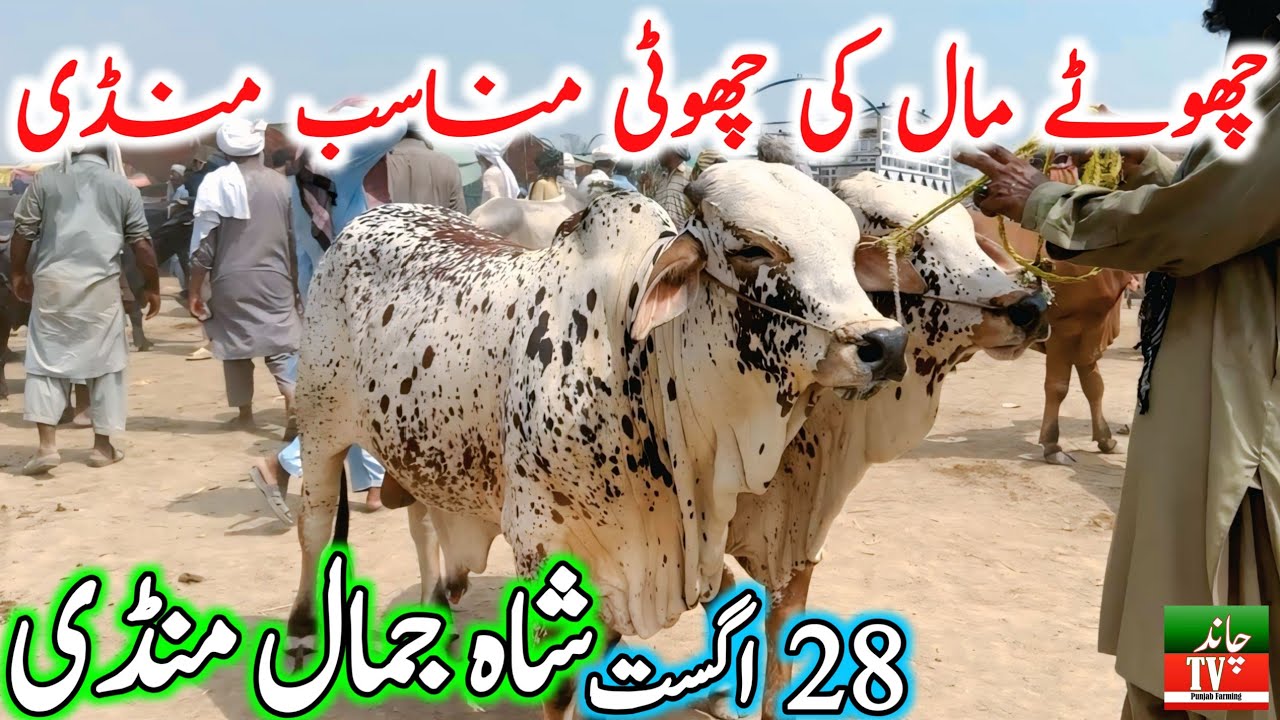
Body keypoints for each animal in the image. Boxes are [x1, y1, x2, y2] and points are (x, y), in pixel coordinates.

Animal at [287, 161, 909, 718]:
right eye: (753, 249)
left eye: (849, 250)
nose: (885, 343)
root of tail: (371, 217)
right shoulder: (540, 539)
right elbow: (557, 686)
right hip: (320, 425)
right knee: (314, 524)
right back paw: (301, 635)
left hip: (420, 443)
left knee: (420, 519)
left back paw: (433, 615)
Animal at [968, 210, 1133, 464]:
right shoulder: (1065, 332)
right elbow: (1058, 387)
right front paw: (1052, 445)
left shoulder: (1089, 334)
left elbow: (1095, 386)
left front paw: (1106, 439)